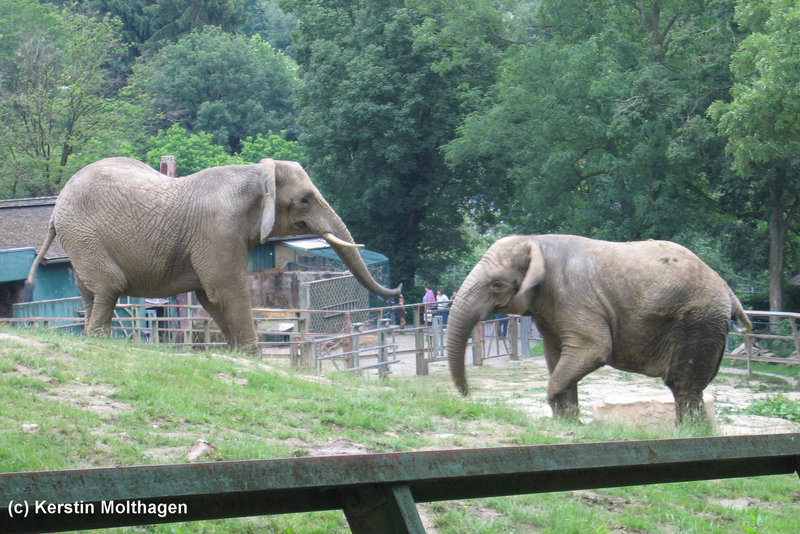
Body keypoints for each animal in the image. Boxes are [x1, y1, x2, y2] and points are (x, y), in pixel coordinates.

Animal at [28, 157, 404, 354]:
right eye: (305, 199)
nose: (399, 290)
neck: (256, 174)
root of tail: (55, 211)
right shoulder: (218, 229)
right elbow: (226, 289)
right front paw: (253, 356)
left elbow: (210, 297)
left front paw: (238, 353)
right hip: (84, 235)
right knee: (109, 287)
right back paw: (99, 342)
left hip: (79, 239)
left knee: (92, 293)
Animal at [446, 234, 752, 428]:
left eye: (496, 285)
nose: (468, 395)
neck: (537, 241)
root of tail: (727, 289)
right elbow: (556, 356)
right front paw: (567, 424)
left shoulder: (574, 296)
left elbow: (592, 349)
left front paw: (569, 423)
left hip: (698, 321)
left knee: (684, 385)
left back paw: (688, 432)